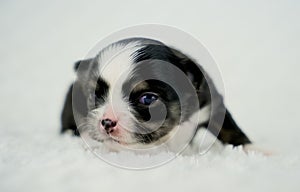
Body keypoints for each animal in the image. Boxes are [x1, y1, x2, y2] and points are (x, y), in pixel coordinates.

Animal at [60, 38, 251, 153]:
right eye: (94, 96)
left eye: (148, 99)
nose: (107, 122)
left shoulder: (211, 104)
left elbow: (231, 129)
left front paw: (255, 150)